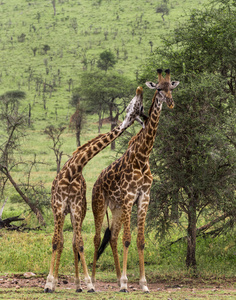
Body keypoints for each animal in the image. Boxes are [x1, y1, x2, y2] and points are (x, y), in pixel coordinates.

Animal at [90, 69, 179, 292]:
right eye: (159, 88)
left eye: (171, 88)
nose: (171, 103)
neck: (143, 156)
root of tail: (96, 182)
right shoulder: (130, 197)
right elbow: (128, 240)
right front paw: (125, 283)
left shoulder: (144, 198)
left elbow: (140, 241)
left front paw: (142, 283)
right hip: (99, 204)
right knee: (97, 238)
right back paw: (92, 281)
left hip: (116, 208)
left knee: (112, 237)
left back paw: (115, 277)